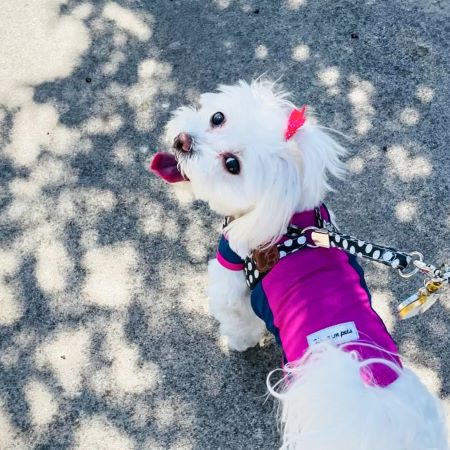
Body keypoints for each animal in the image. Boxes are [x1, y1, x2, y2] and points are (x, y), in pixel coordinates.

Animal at [150, 81, 446, 450]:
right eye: (218, 117)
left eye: (232, 164)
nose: (183, 142)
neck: (292, 220)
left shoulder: (231, 274)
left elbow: (237, 320)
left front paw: (238, 342)